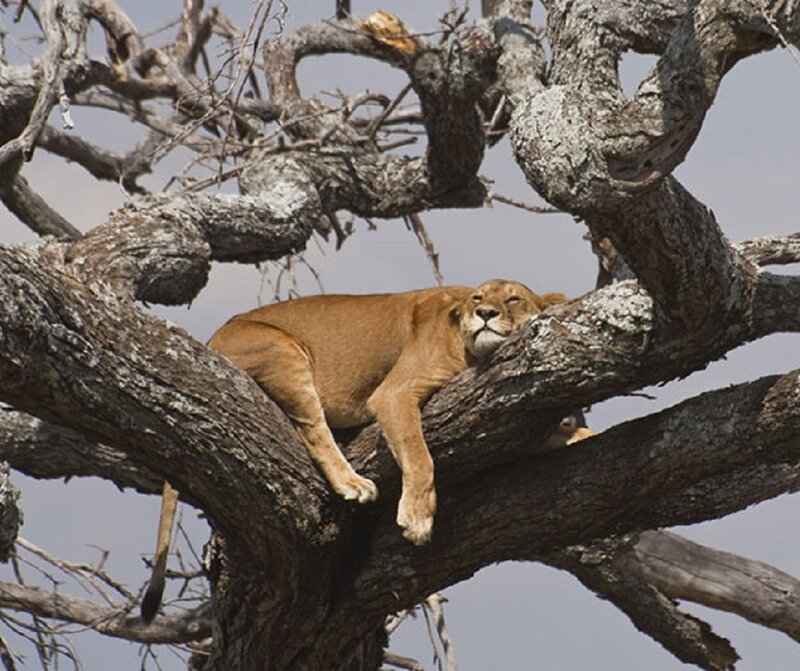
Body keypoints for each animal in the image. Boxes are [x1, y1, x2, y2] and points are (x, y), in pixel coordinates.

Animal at [141, 279, 593, 622]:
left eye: (513, 299)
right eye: (479, 299)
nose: (484, 314)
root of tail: (210, 340)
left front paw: (583, 434)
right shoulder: (393, 394)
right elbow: (420, 456)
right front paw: (416, 518)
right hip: (283, 351)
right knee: (313, 430)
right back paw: (352, 483)